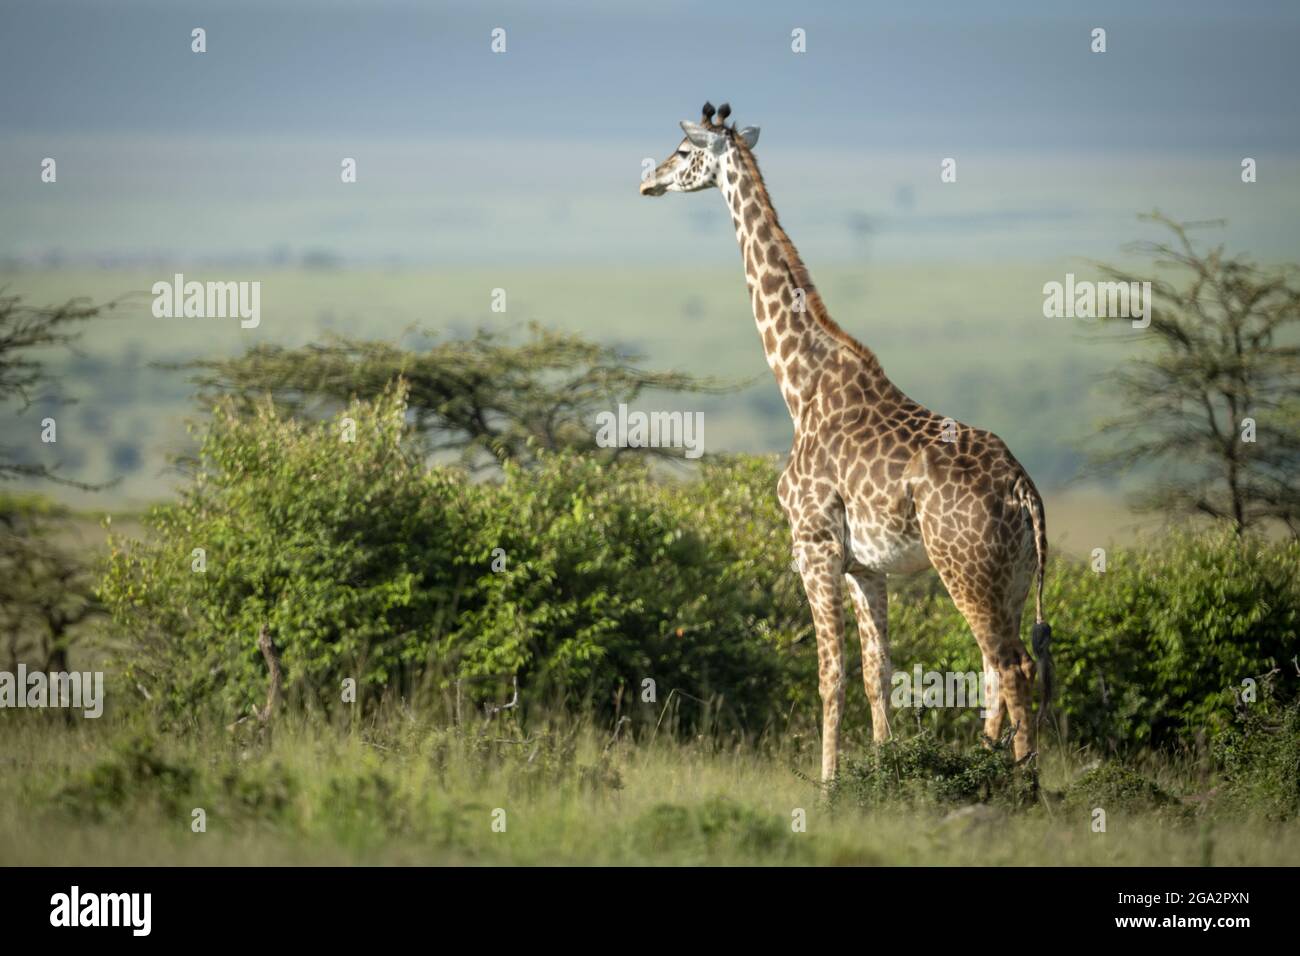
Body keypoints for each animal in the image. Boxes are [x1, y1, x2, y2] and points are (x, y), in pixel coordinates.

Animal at [639, 104, 1055, 780]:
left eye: (681, 149)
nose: (647, 180)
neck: (800, 385)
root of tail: (1024, 490)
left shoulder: (812, 545)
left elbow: (829, 673)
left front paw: (829, 782)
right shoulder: (865, 565)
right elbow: (875, 673)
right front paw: (884, 771)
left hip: (964, 567)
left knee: (1010, 667)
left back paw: (1021, 782)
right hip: (1015, 578)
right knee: (1004, 668)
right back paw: (992, 767)